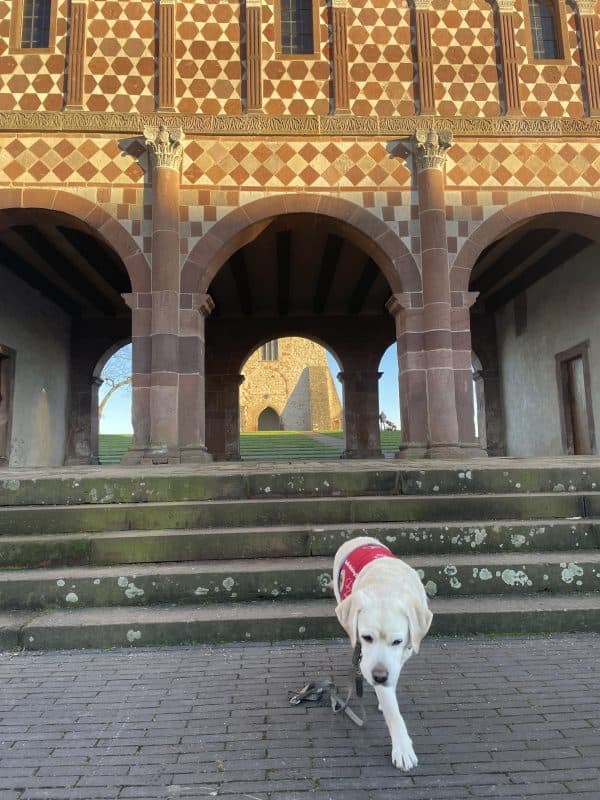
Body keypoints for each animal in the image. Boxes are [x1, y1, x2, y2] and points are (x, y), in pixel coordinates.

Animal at [332, 536, 432, 768]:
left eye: (397, 641)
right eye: (367, 637)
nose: (379, 677)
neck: (386, 587)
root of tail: (359, 538)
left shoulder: (401, 655)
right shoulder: (366, 659)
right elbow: (393, 711)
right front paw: (403, 749)